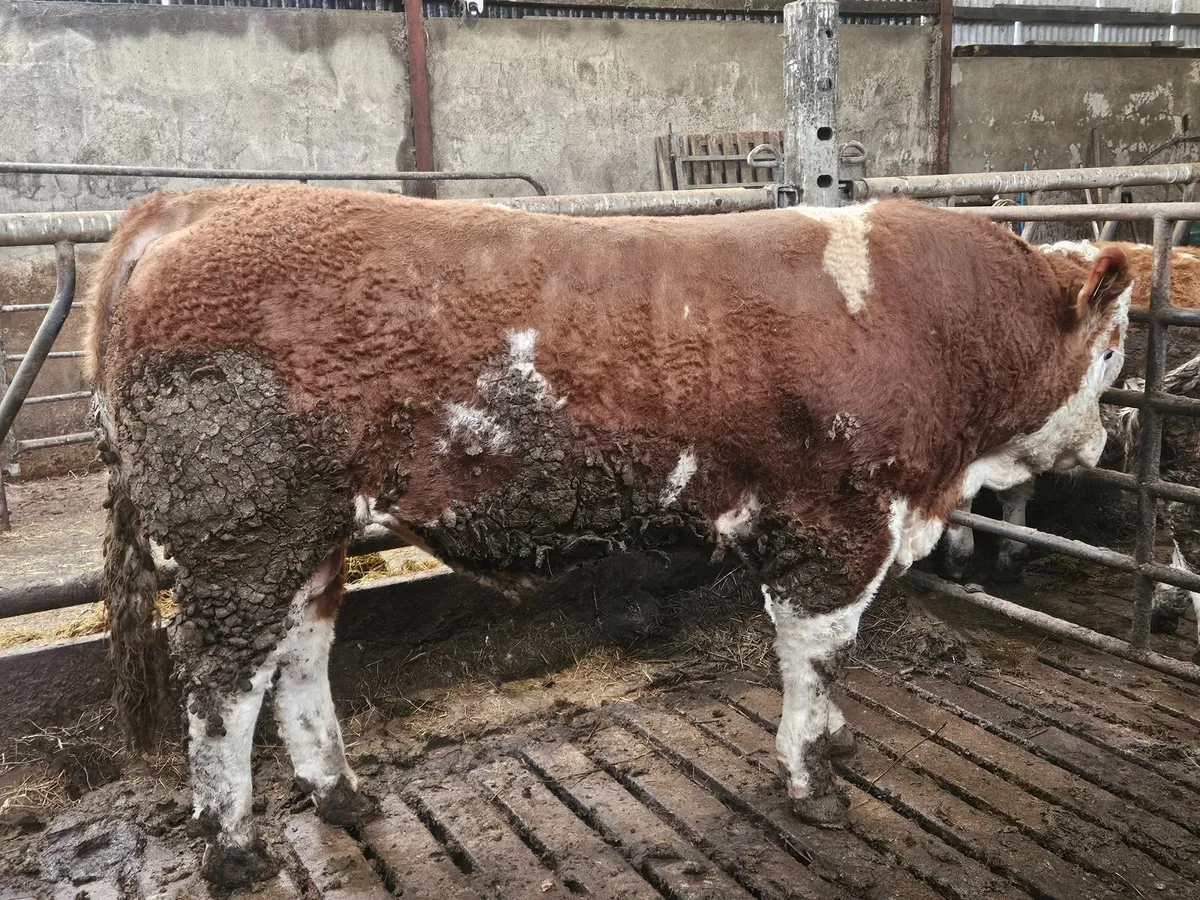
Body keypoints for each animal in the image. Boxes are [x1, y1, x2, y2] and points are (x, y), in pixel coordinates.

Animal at [87, 184, 1131, 887]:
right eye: (1115, 346)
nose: (1105, 443)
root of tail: (195, 203)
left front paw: (834, 743)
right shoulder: (835, 524)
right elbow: (820, 653)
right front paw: (811, 775)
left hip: (307, 532)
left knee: (301, 655)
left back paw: (341, 793)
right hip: (242, 532)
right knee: (222, 688)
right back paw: (234, 849)